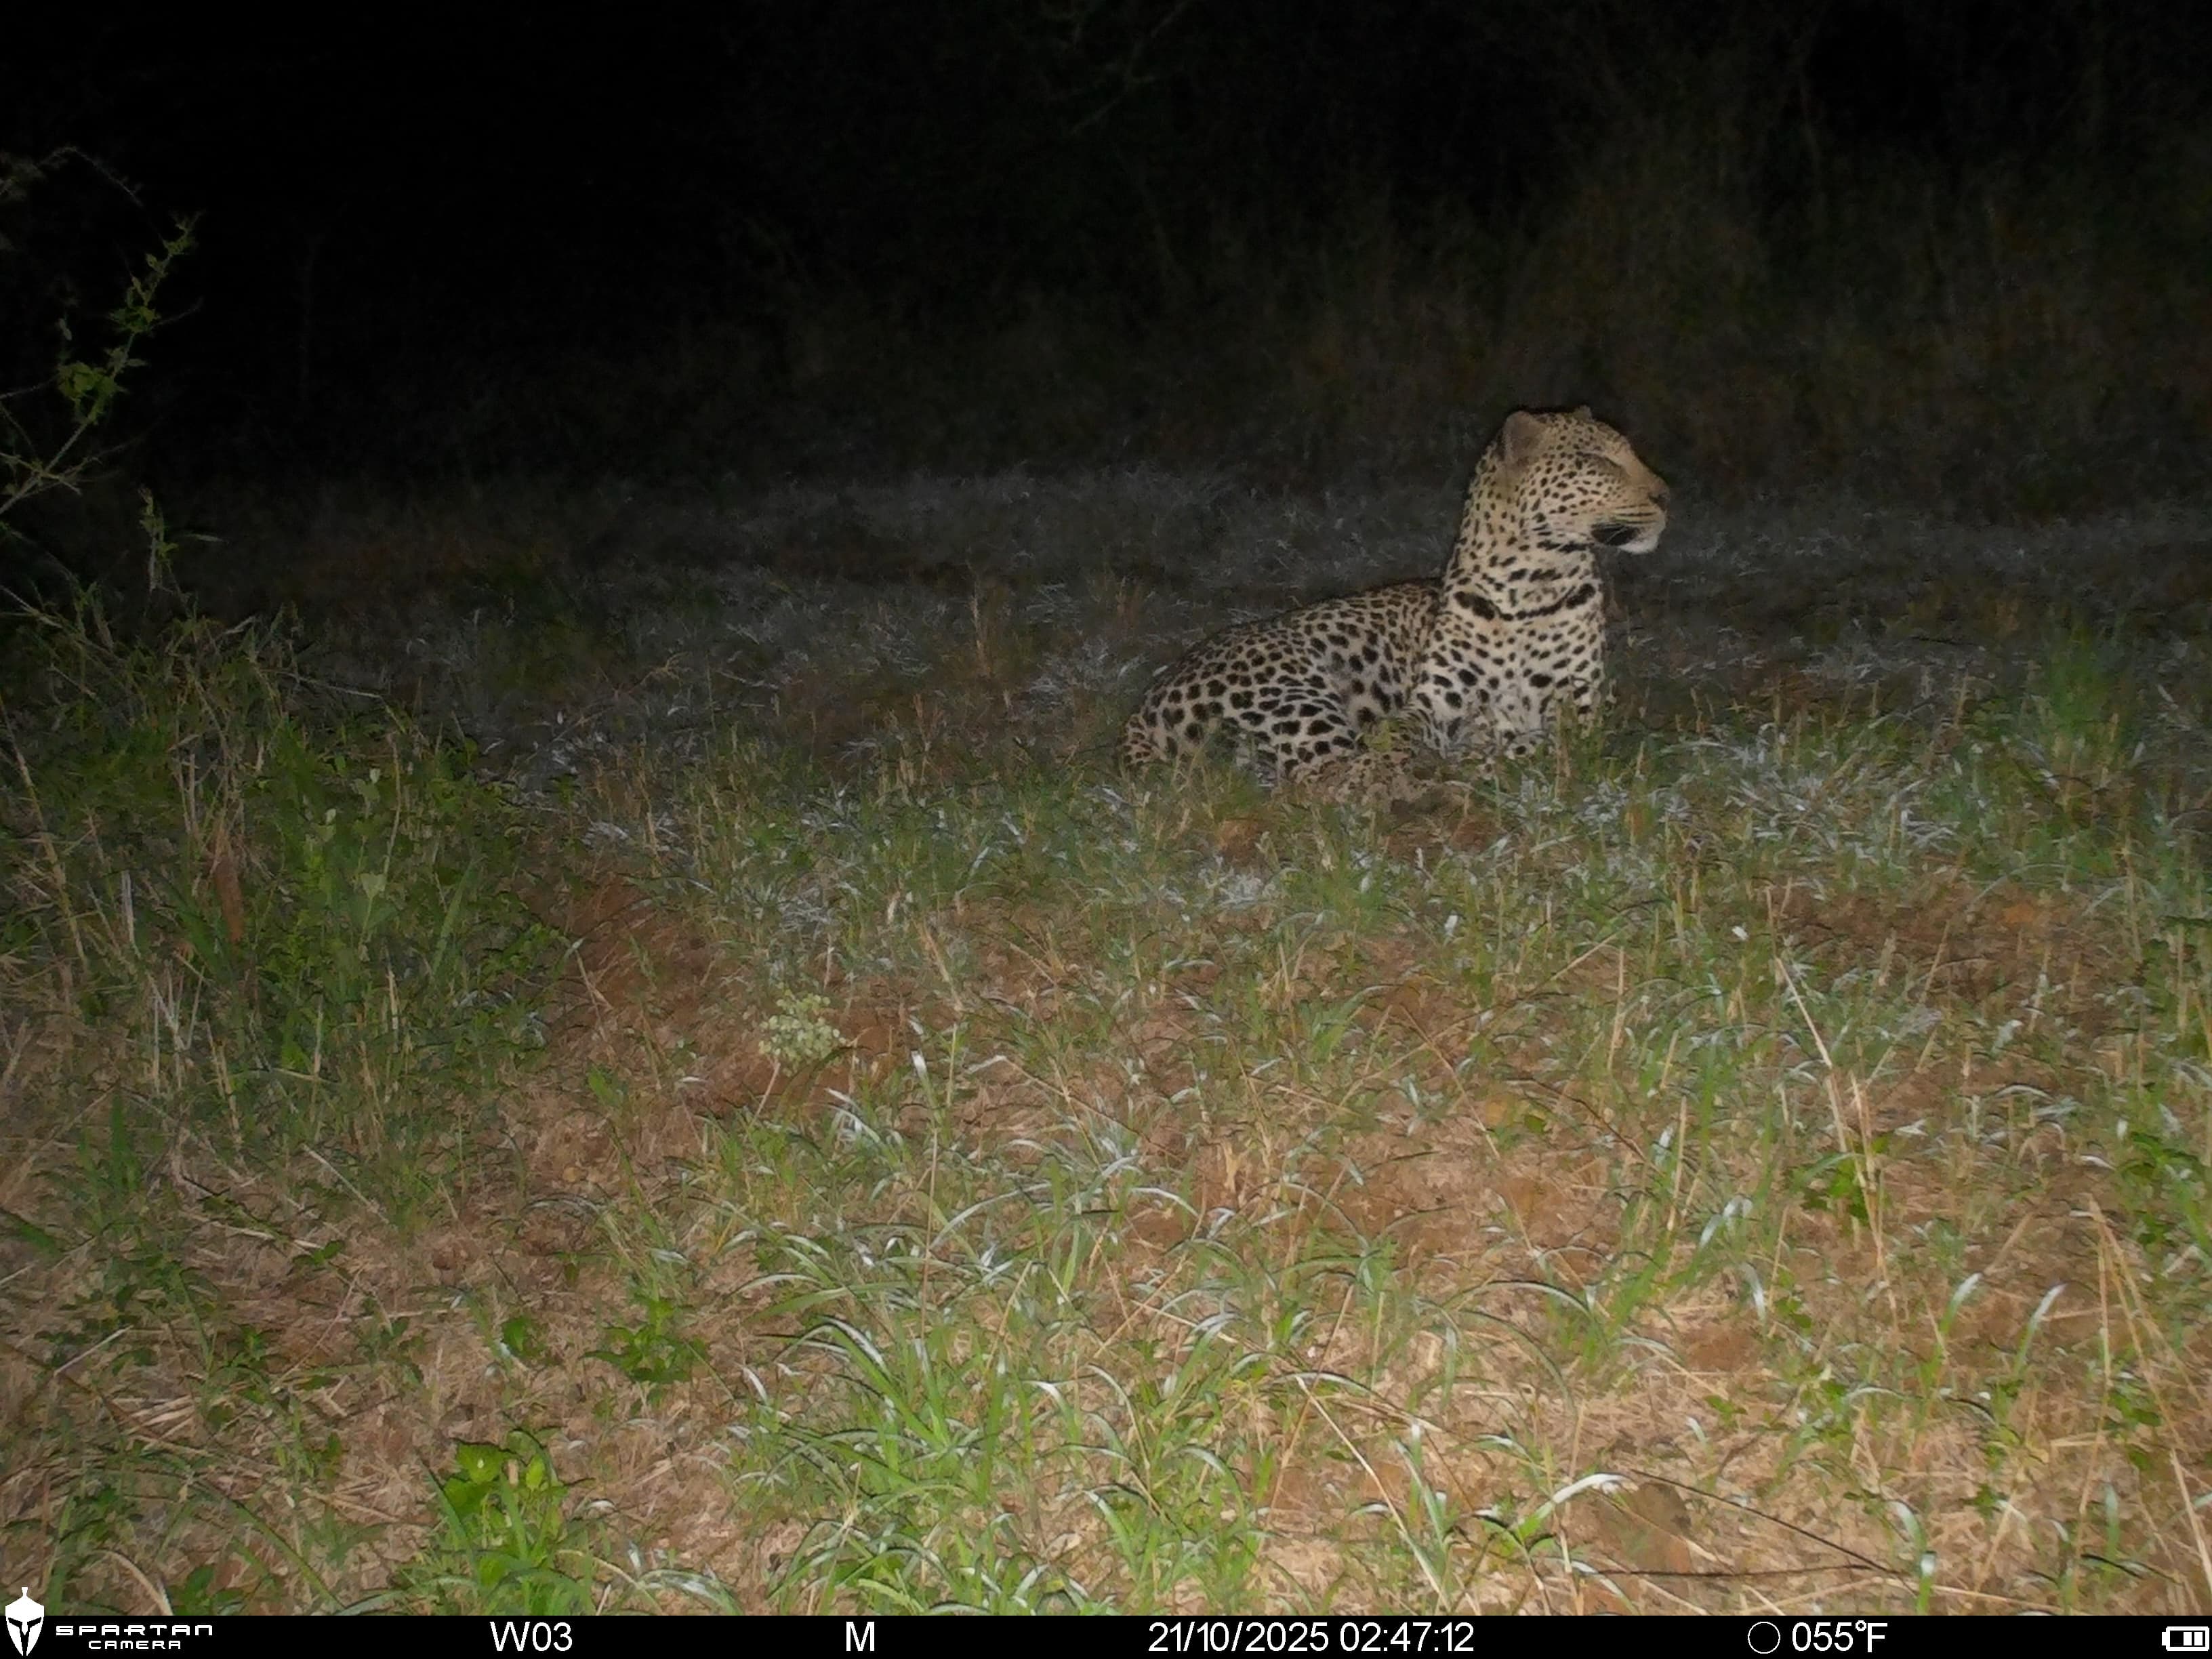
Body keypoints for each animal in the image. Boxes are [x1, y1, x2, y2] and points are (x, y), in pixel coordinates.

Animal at [1119, 406, 1669, 798]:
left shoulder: (1580, 708)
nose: (1666, 494)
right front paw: (1410, 759)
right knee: (1326, 775)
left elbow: (1537, 744)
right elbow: (1400, 733)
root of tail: (1146, 704)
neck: (1530, 583)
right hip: (1297, 697)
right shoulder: (1437, 699)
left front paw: (1479, 758)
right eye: (1598, 462)